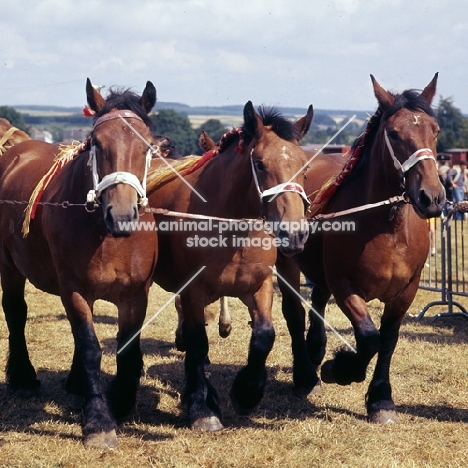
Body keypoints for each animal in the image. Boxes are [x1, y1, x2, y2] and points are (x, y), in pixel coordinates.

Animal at [0, 78, 158, 448]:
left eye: (147, 145)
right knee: (15, 312)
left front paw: (121, 401)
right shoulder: (73, 290)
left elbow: (125, 348)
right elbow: (89, 349)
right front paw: (99, 420)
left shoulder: (136, 294)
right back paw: (23, 377)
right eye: (96, 143)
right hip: (9, 265)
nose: (122, 215)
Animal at [145, 102, 314, 432]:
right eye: (259, 164)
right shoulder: (193, 288)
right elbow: (198, 341)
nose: (294, 233)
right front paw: (202, 407)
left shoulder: (260, 285)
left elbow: (264, 335)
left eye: (305, 167)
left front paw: (247, 393)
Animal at [278, 74, 446, 424]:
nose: (432, 197)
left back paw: (315, 351)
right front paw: (339, 369)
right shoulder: (346, 286)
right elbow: (369, 338)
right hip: (288, 264)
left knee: (316, 302)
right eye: (393, 133)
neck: (386, 227)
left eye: (435, 129)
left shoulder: (406, 291)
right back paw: (306, 376)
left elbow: (388, 339)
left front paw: (381, 399)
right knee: (294, 312)